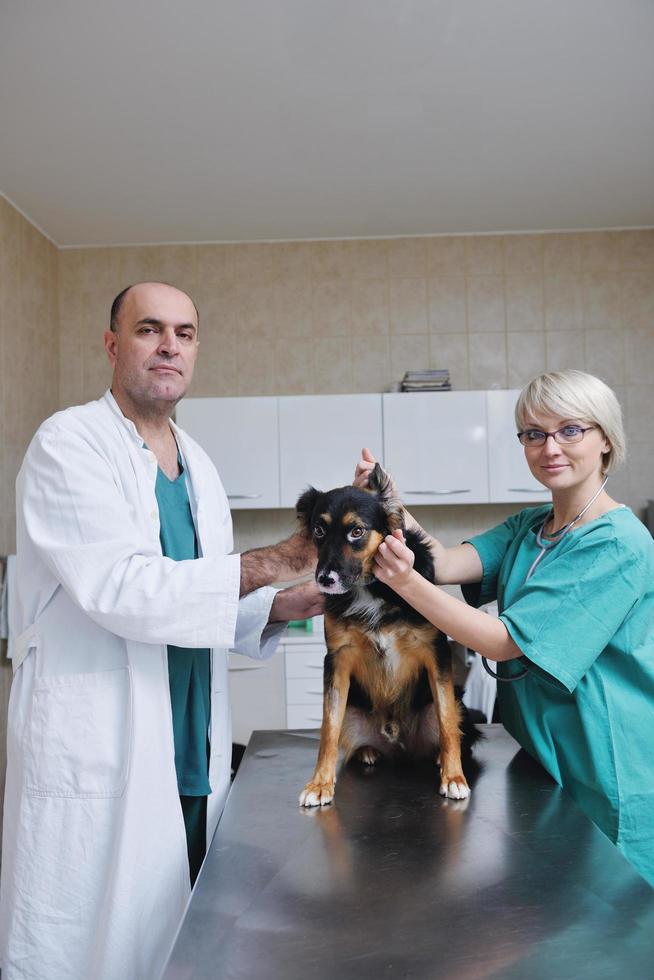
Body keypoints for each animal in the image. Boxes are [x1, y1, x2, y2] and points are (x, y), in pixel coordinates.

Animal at [298, 464, 476, 808]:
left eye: (357, 532)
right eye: (319, 531)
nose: (325, 580)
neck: (371, 588)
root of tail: (396, 740)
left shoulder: (436, 651)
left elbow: (447, 722)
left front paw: (453, 777)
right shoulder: (337, 659)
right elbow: (328, 729)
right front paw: (320, 783)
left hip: (458, 702)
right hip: (354, 712)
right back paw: (367, 751)